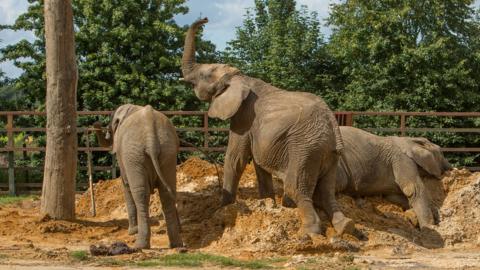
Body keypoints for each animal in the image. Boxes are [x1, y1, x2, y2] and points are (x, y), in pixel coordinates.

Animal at [94, 104, 184, 249]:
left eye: (111, 128)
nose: (96, 123)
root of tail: (151, 137)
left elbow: (126, 185)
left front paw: (131, 232)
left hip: (134, 155)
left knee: (141, 194)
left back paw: (140, 245)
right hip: (168, 151)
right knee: (167, 193)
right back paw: (176, 244)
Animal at [182, 17, 354, 236]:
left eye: (203, 75)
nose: (205, 19)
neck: (240, 77)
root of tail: (332, 121)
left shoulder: (243, 117)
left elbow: (235, 159)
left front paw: (222, 212)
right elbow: (258, 163)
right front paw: (267, 204)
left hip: (305, 148)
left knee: (295, 187)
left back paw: (309, 233)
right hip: (330, 153)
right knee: (326, 191)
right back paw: (345, 226)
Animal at [320, 126, 452, 228]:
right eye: (442, 153)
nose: (450, 169)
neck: (409, 140)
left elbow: (393, 196)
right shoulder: (401, 159)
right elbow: (412, 189)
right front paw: (429, 227)